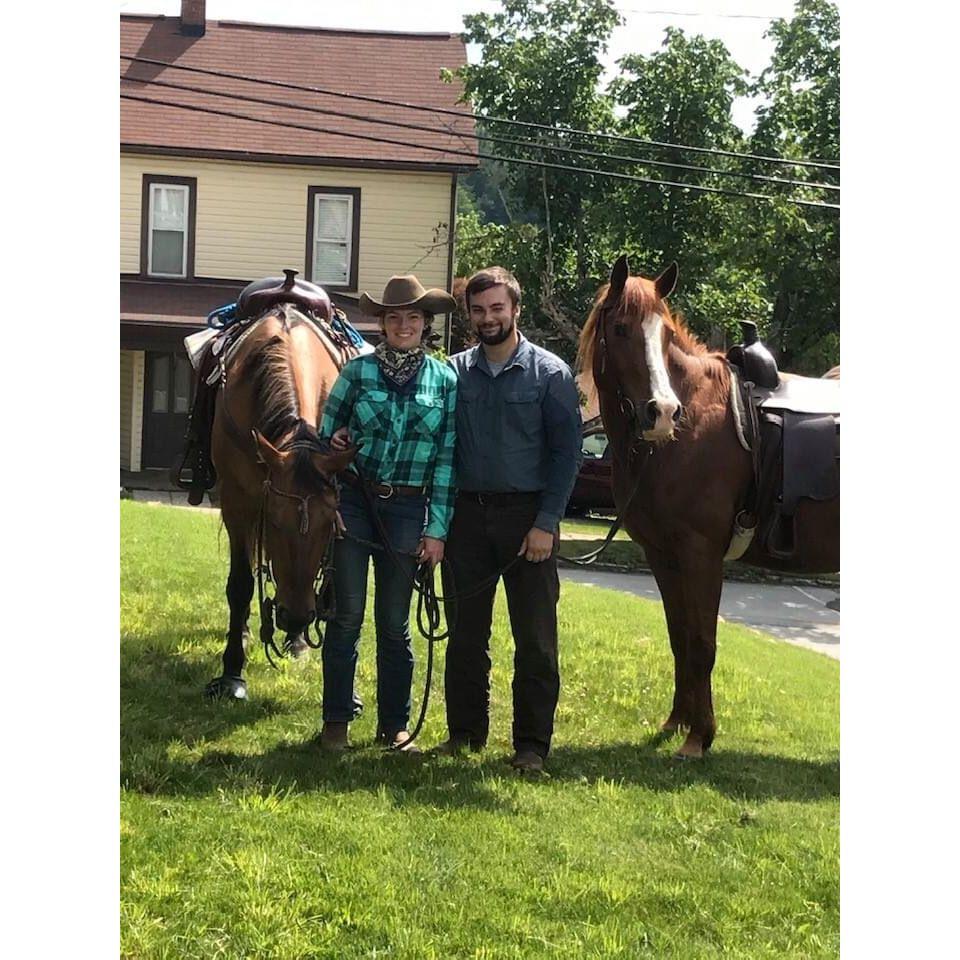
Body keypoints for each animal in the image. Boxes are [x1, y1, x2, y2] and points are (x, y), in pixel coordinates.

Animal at [206, 304, 356, 700]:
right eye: (273, 520)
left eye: (328, 525)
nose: (297, 617)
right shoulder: (238, 502)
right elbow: (240, 584)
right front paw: (232, 671)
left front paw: (299, 638)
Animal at [576, 255, 840, 756]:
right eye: (620, 329)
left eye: (664, 334)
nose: (662, 412)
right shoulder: (663, 555)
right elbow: (679, 637)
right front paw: (677, 722)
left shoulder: (701, 554)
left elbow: (702, 642)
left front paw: (699, 738)